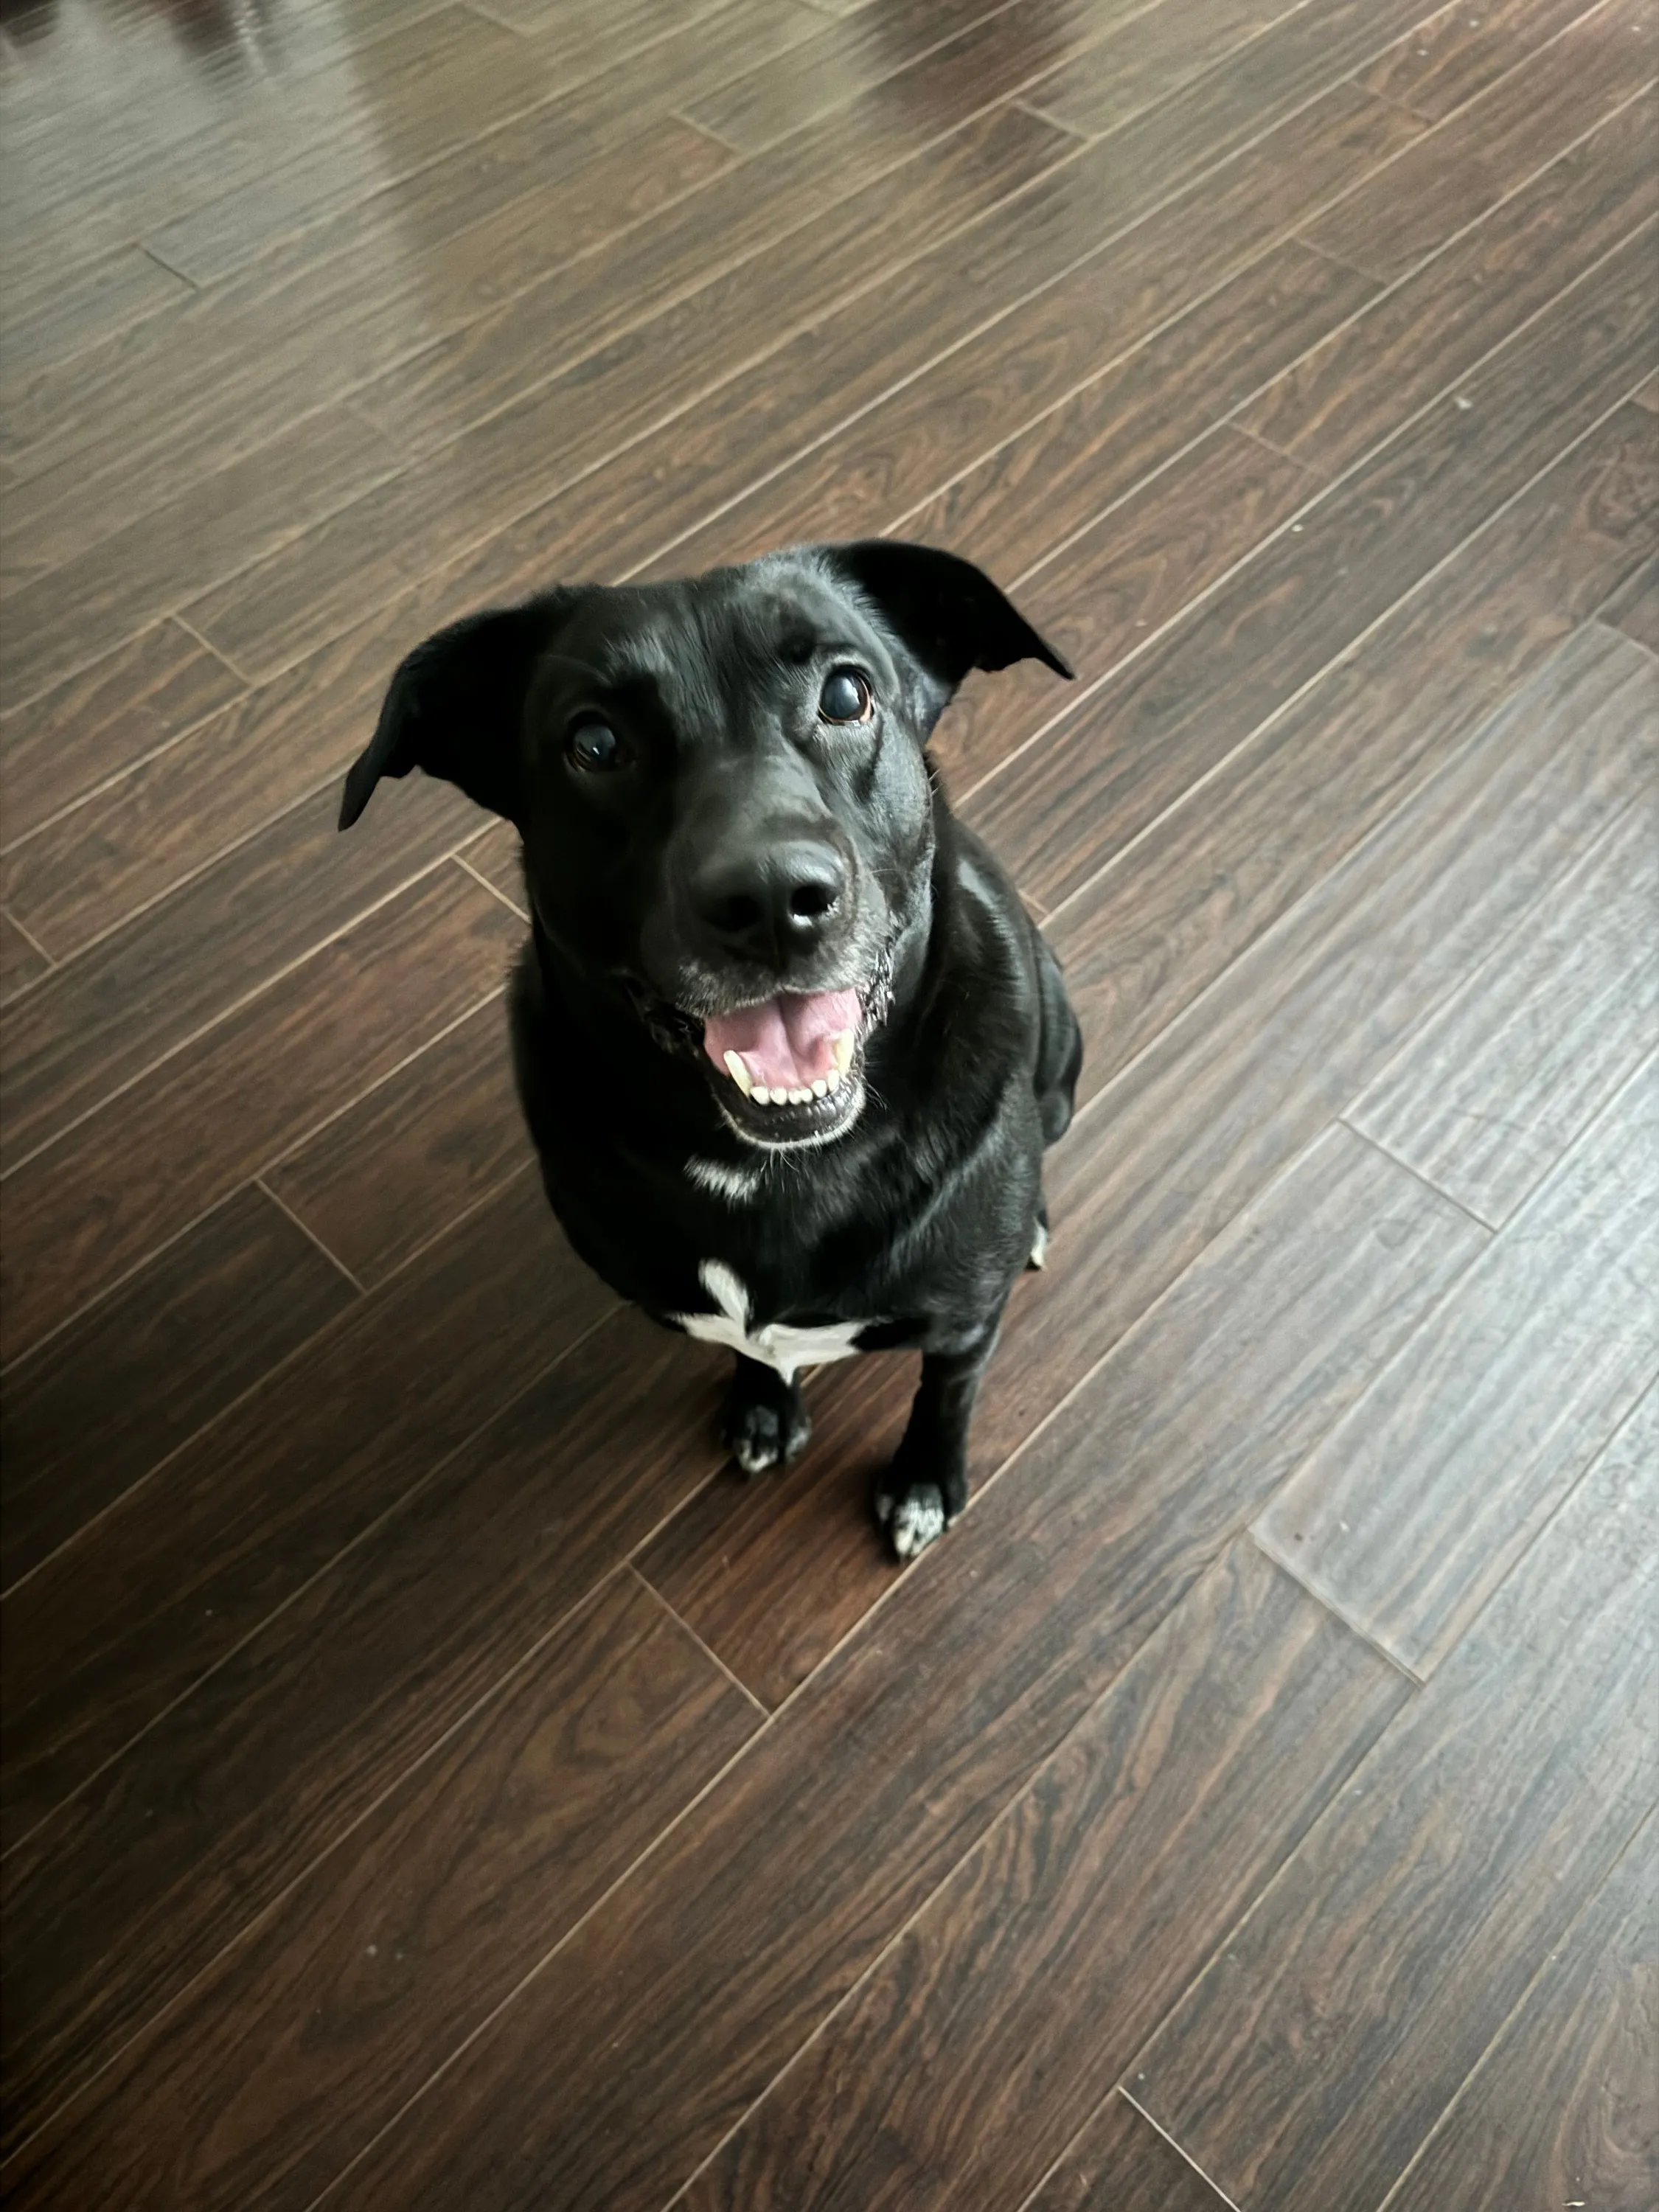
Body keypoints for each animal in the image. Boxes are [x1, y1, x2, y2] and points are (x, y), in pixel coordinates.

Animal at [340, 541, 1081, 1560]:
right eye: (595, 745)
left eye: (846, 694)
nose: (771, 899)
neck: (779, 1169)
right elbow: (751, 1347)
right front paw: (764, 1405)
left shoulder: (967, 1322)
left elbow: (946, 1395)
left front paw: (925, 1480)